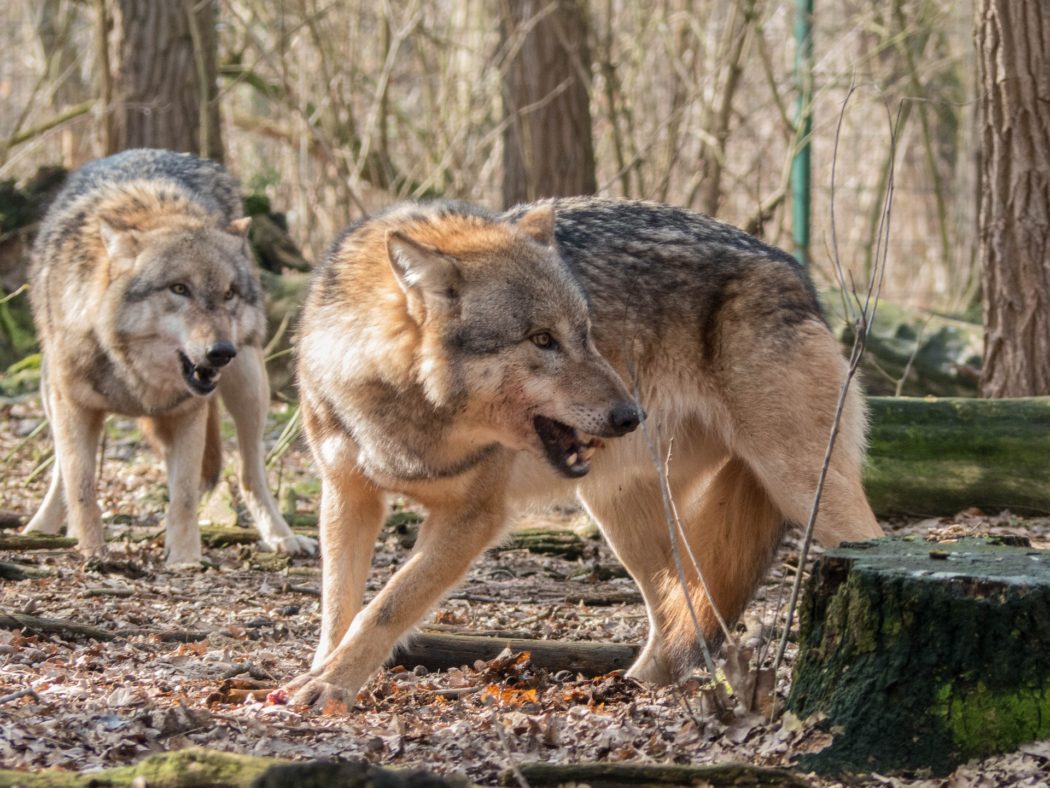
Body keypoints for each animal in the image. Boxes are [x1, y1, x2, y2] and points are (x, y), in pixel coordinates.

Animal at [22, 148, 316, 565]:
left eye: (228, 293)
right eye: (179, 289)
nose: (221, 352)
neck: (133, 374)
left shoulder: (188, 413)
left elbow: (186, 495)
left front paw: (185, 560)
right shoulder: (74, 407)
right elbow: (81, 486)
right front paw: (93, 551)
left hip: (249, 386)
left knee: (249, 473)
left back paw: (281, 536)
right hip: (50, 394)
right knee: (61, 472)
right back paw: (42, 529)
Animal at [284, 198, 883, 706]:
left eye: (587, 332)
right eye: (542, 339)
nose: (629, 415)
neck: (406, 412)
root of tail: (795, 272)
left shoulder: (474, 516)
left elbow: (386, 606)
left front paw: (330, 686)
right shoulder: (347, 496)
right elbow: (339, 606)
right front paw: (320, 673)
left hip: (804, 489)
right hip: (621, 512)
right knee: (679, 607)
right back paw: (637, 689)